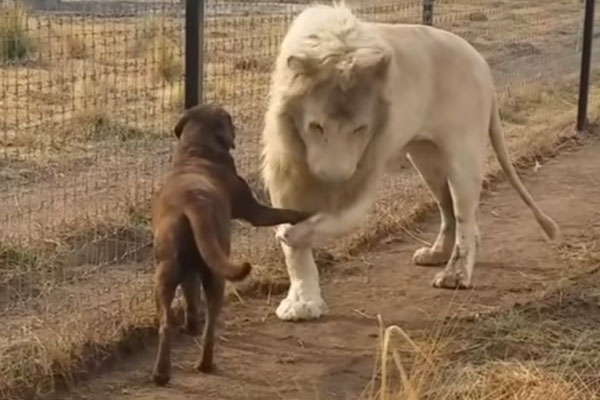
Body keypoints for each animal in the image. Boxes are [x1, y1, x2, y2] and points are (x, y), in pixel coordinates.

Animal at [150, 103, 312, 384]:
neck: (198, 152)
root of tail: (193, 204)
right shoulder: (256, 212)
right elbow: (285, 212)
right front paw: (307, 212)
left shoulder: (188, 273)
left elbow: (190, 298)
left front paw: (190, 325)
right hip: (217, 276)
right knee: (210, 325)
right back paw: (205, 364)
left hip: (166, 272)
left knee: (166, 323)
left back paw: (162, 373)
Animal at [260, 2, 560, 322]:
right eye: (316, 126)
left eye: (360, 129)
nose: (334, 177)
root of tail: (481, 62)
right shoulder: (288, 168)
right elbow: (296, 254)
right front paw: (302, 302)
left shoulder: (366, 165)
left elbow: (337, 219)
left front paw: (291, 234)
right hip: (426, 159)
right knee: (448, 209)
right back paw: (436, 254)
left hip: (463, 156)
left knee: (465, 218)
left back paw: (455, 275)